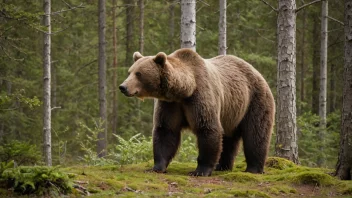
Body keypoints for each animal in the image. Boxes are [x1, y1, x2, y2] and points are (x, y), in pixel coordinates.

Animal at [119, 48, 276, 176]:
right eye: (130, 72)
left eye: (139, 74)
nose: (123, 87)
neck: (184, 90)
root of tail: (256, 71)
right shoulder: (170, 105)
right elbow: (165, 131)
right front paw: (156, 167)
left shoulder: (200, 97)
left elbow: (207, 128)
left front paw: (200, 170)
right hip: (232, 112)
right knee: (228, 138)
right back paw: (222, 166)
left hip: (254, 100)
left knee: (256, 133)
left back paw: (253, 168)